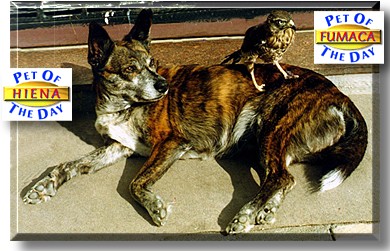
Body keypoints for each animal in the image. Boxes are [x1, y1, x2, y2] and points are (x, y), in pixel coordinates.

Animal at [22, 9, 368, 233]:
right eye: (131, 69)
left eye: (153, 63)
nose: (163, 86)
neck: (122, 106)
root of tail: (338, 93)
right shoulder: (117, 147)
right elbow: (69, 165)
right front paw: (44, 186)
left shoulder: (172, 142)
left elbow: (135, 182)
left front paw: (155, 206)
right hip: (271, 143)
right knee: (285, 177)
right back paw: (267, 210)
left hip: (271, 128)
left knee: (278, 178)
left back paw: (245, 215)